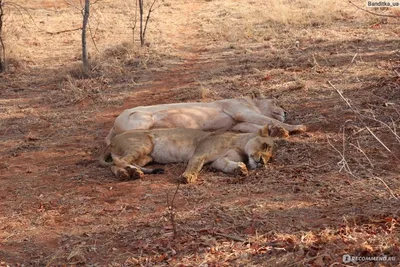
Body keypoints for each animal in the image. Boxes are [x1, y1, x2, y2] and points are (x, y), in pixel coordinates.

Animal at [99, 125, 278, 184]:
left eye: (271, 158)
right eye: (265, 146)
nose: (263, 162)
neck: (239, 145)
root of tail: (112, 140)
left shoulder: (218, 161)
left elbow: (226, 164)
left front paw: (240, 169)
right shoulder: (200, 153)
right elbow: (194, 165)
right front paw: (187, 177)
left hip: (146, 157)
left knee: (113, 165)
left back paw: (126, 174)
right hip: (144, 144)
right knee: (120, 160)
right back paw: (132, 171)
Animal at [104, 92, 306, 147]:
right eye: (275, 100)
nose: (286, 111)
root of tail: (113, 125)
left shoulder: (240, 123)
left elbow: (259, 126)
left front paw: (279, 131)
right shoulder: (242, 113)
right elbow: (268, 119)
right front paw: (296, 126)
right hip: (142, 118)